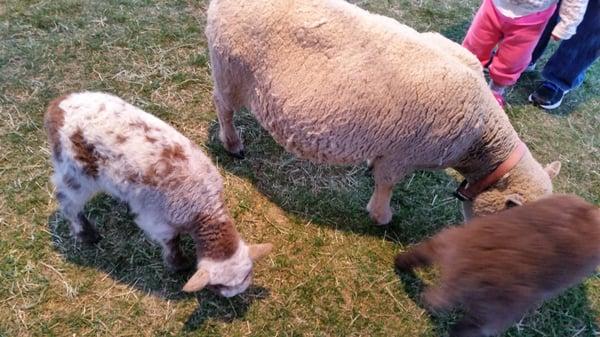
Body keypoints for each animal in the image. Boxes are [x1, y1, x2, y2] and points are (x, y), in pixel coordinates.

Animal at [44, 92, 272, 296]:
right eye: (217, 286)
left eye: (247, 275)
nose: (232, 298)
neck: (203, 208)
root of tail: (56, 107)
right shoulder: (157, 221)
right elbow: (171, 242)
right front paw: (179, 264)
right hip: (75, 172)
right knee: (67, 200)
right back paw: (86, 234)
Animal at [206, 0, 564, 226]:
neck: (480, 139)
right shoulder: (401, 155)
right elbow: (386, 185)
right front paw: (382, 217)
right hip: (230, 68)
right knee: (223, 106)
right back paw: (233, 144)